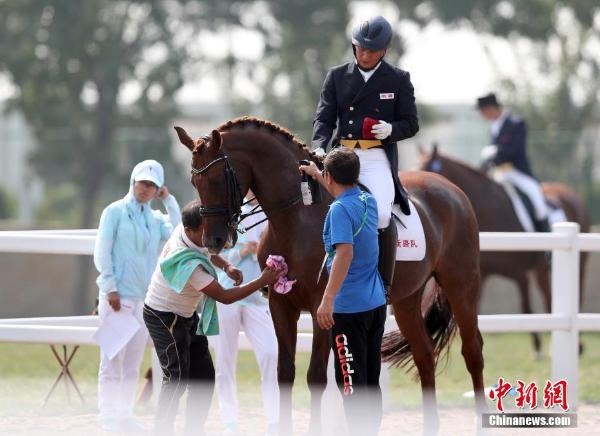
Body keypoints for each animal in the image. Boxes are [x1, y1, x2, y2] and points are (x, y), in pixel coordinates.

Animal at [176, 119, 486, 436]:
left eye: (216, 179)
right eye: (194, 182)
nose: (214, 241)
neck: (299, 217)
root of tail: (450, 188)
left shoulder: (322, 307)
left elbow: (316, 376)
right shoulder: (281, 305)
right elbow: (285, 372)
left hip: (461, 285)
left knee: (473, 351)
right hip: (407, 300)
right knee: (424, 354)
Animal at [422, 146, 592, 354]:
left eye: (429, 168)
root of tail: (570, 195)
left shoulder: (520, 274)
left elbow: (526, 307)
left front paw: (537, 347)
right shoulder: (483, 273)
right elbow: (476, 307)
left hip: (577, 265)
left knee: (572, 297)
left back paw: (577, 344)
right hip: (541, 270)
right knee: (548, 297)